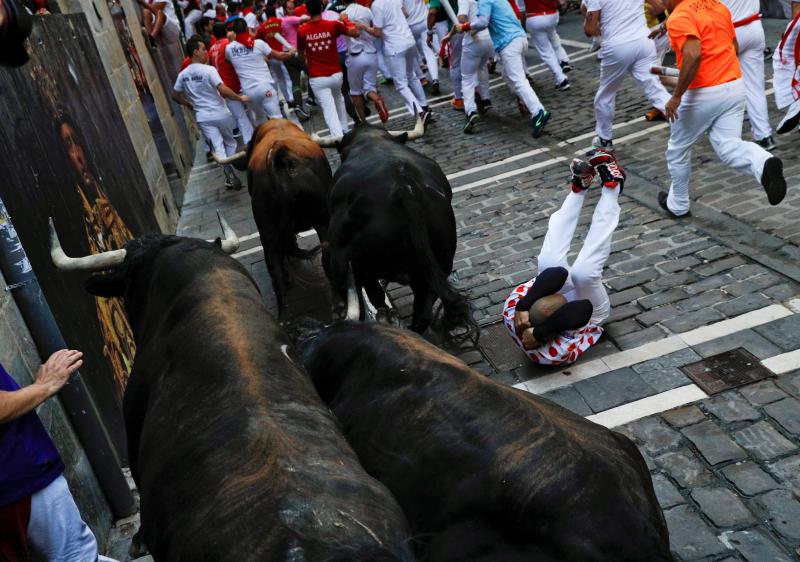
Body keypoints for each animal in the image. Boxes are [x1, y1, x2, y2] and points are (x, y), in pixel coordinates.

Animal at [324, 120, 476, 332]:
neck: (372, 139)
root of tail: (404, 187)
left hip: (362, 263)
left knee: (375, 294)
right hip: (436, 267)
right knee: (423, 311)